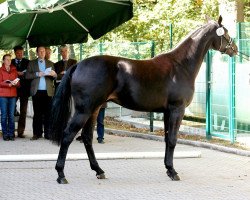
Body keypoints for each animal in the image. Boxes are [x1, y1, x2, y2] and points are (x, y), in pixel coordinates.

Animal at [49, 16, 238, 184]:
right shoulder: (177, 109)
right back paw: (61, 175)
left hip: (94, 110)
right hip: (84, 110)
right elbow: (173, 140)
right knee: (68, 135)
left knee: (87, 138)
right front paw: (173, 172)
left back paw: (99, 171)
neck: (181, 65)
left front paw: (168, 169)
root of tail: (78, 65)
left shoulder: (168, 112)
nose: (235, 49)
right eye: (226, 33)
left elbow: (167, 139)